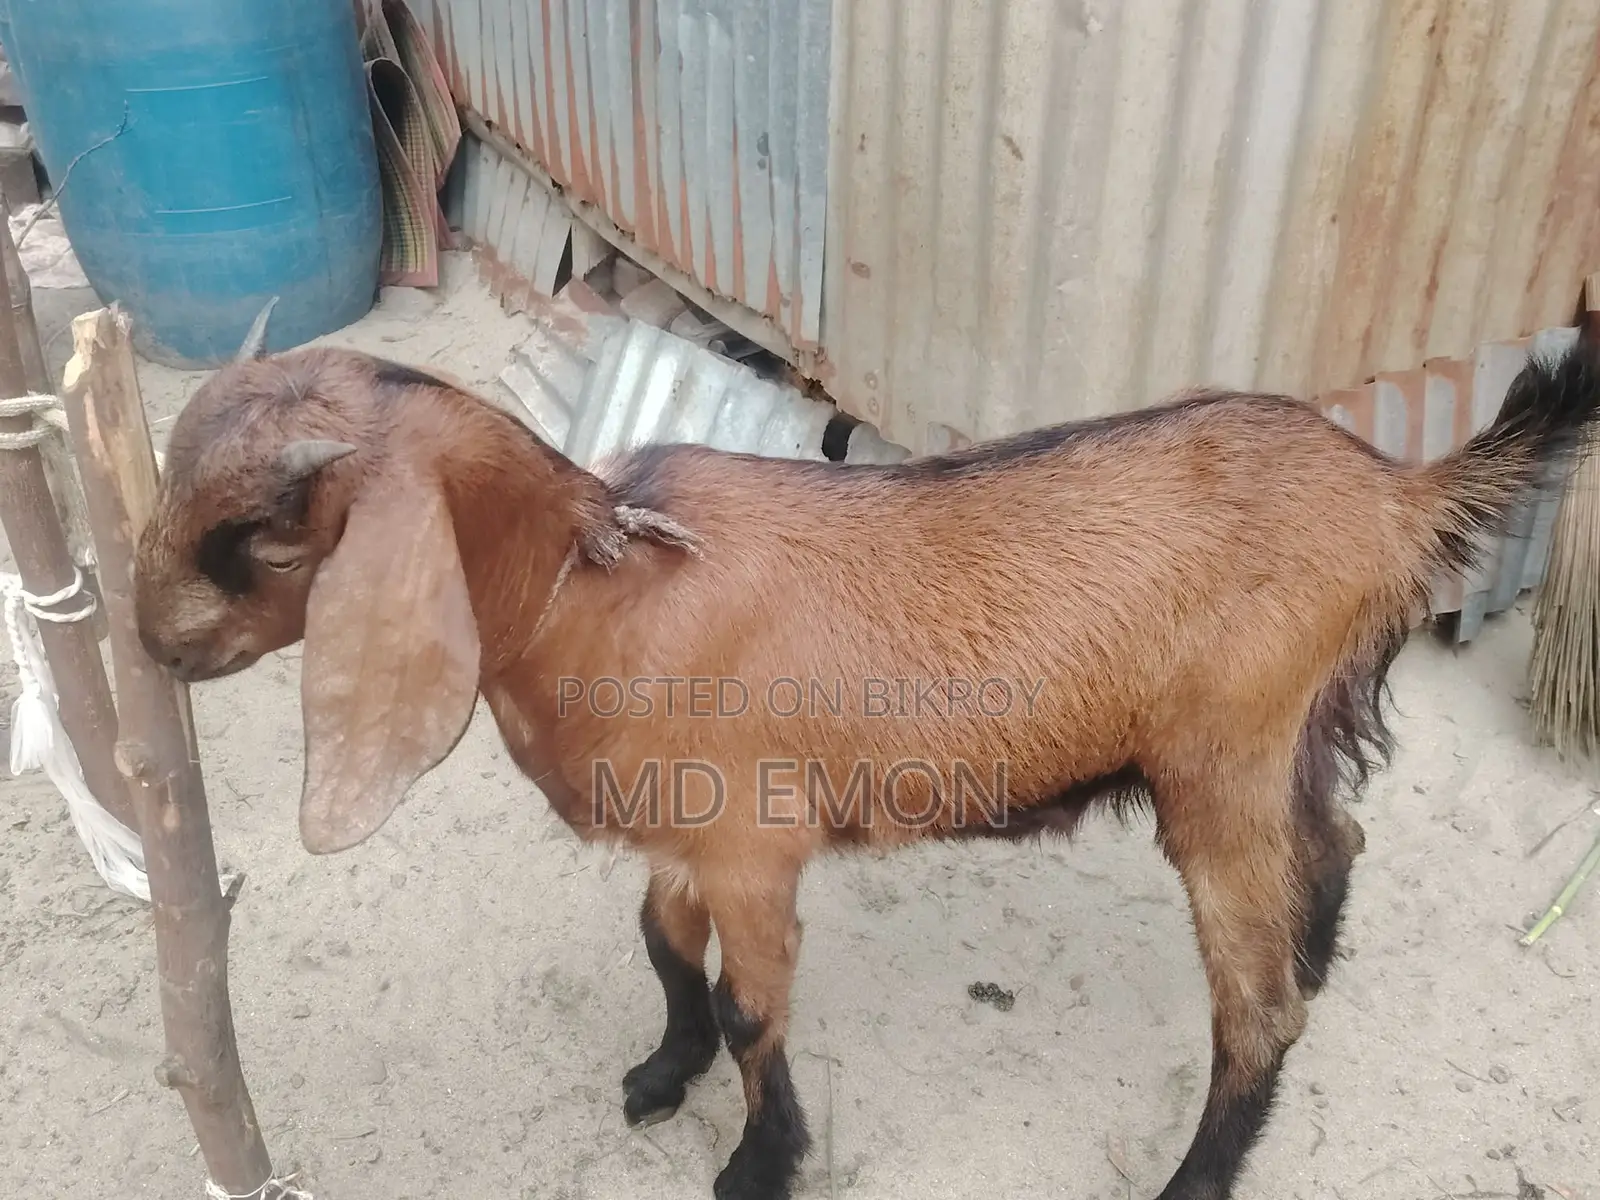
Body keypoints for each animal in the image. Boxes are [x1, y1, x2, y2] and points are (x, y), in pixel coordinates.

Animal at [133, 305, 1600, 1200]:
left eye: (267, 541)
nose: (150, 643)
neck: (595, 591)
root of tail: (1401, 495)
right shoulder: (685, 828)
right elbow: (661, 950)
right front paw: (659, 1076)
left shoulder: (751, 844)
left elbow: (750, 1009)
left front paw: (756, 1164)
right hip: (1284, 738)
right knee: (1335, 839)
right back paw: (1322, 947)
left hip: (1221, 768)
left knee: (1257, 1011)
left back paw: (1200, 1165)